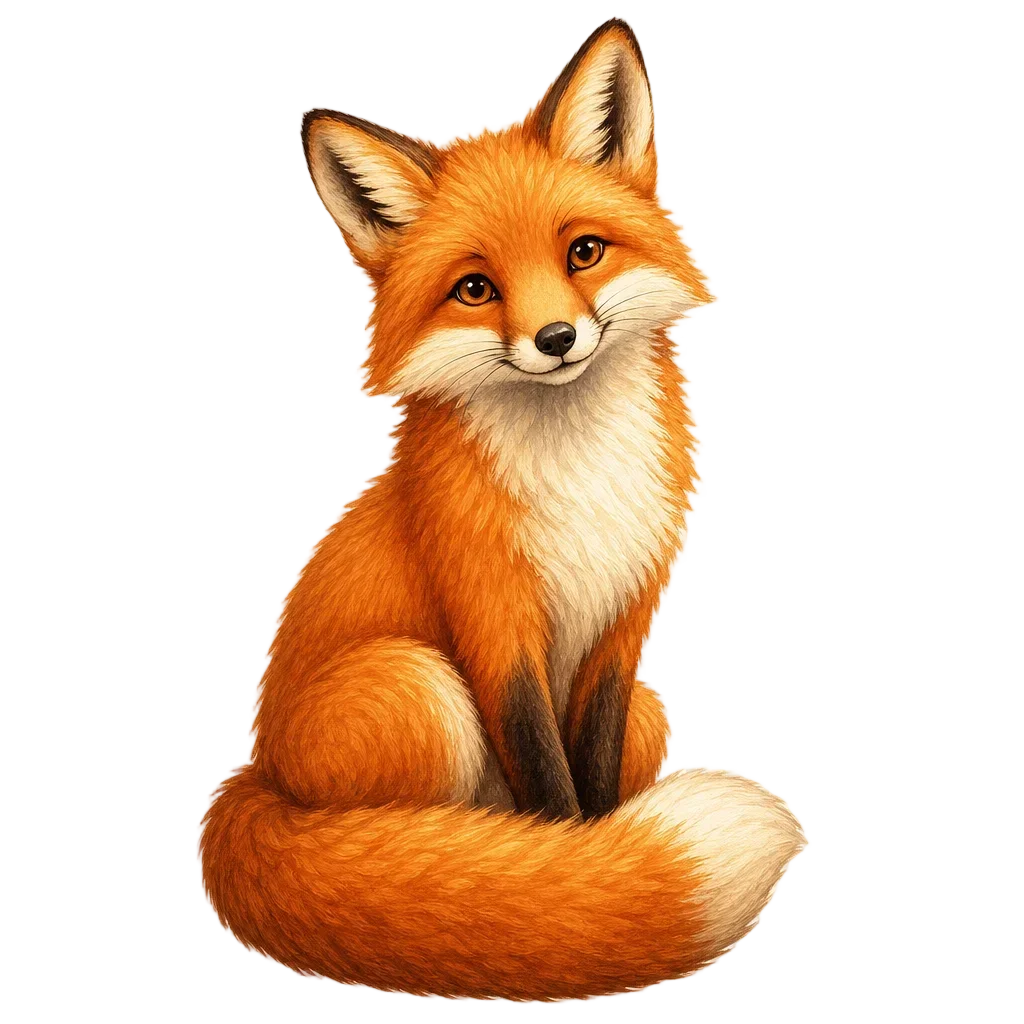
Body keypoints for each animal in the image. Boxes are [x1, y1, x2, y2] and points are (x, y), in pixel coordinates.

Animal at [195, 15, 808, 1005]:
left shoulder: (622, 627)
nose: (557, 338)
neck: (578, 473)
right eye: (475, 288)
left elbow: (590, 769)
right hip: (414, 683)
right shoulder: (494, 622)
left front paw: (593, 862)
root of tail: (253, 777)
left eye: (583, 252)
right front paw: (569, 883)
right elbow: (546, 788)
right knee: (402, 835)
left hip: (649, 713)